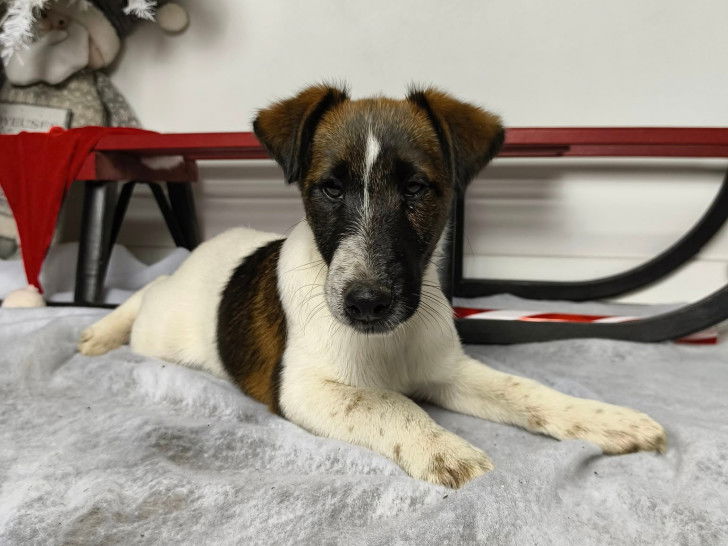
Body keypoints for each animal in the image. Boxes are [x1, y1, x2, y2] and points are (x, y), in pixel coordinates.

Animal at [78, 84, 666, 488]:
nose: (366, 303)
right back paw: (101, 331)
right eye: (330, 189)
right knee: (150, 288)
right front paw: (446, 450)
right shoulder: (305, 388)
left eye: (417, 188)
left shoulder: (448, 371)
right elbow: (389, 403)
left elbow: (525, 392)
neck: (388, 341)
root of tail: (211, 250)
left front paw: (604, 418)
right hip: (164, 331)